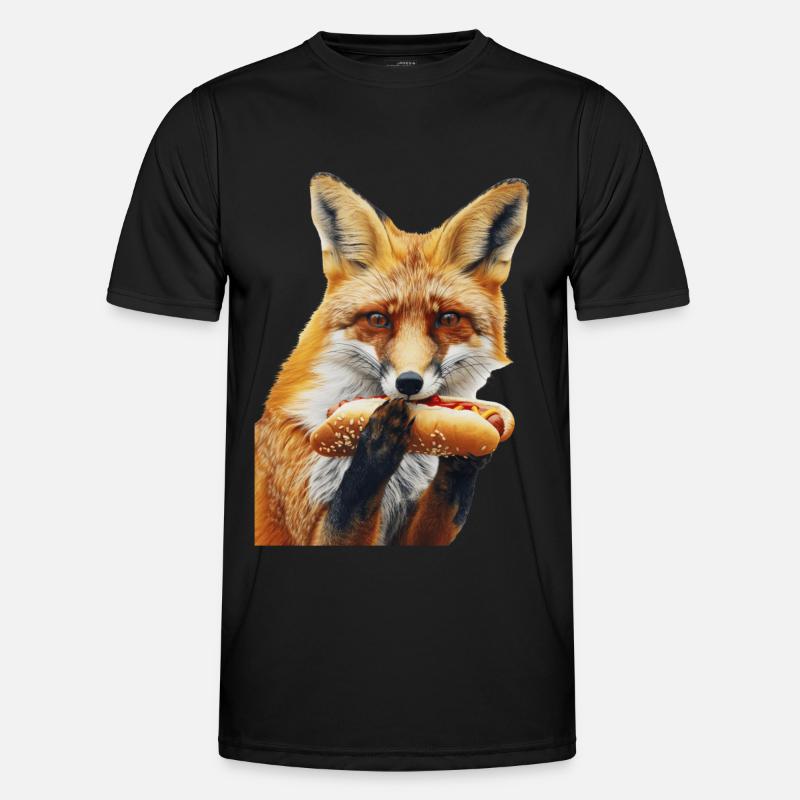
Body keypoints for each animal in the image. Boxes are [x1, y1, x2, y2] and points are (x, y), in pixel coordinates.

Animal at [254, 173, 528, 546]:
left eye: (447, 319)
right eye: (378, 320)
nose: (408, 383)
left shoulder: (409, 532)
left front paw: (466, 455)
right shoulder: (305, 525)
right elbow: (351, 503)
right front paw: (377, 442)